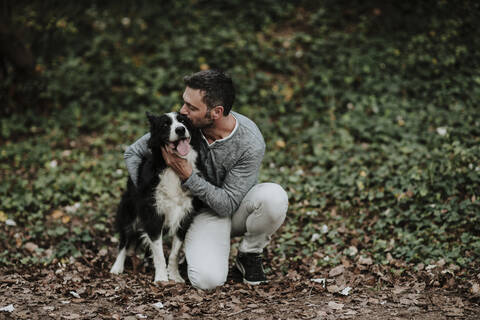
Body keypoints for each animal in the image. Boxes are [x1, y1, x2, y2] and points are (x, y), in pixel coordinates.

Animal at [110, 111, 204, 282]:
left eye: (183, 121)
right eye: (165, 125)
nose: (180, 130)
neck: (172, 169)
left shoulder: (184, 216)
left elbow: (174, 253)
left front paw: (174, 275)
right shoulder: (153, 215)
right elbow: (159, 253)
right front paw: (161, 278)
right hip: (129, 214)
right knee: (124, 240)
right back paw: (117, 267)